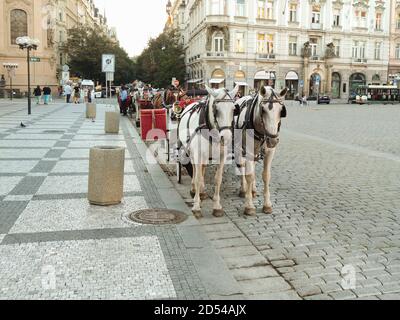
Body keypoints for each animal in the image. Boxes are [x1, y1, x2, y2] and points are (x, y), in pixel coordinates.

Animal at [179, 85, 241, 219]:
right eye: (216, 110)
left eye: (234, 109)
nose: (226, 137)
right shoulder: (197, 154)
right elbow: (197, 177)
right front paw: (196, 206)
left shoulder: (222, 157)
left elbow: (218, 179)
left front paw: (217, 206)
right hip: (190, 151)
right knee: (195, 168)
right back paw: (194, 189)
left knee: (201, 168)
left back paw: (201, 191)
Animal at [234, 86, 288, 216]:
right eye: (263, 110)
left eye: (281, 110)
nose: (273, 140)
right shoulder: (248, 151)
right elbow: (249, 175)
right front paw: (249, 206)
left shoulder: (269, 152)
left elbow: (266, 176)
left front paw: (267, 205)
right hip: (239, 149)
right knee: (242, 166)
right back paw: (244, 190)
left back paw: (253, 190)